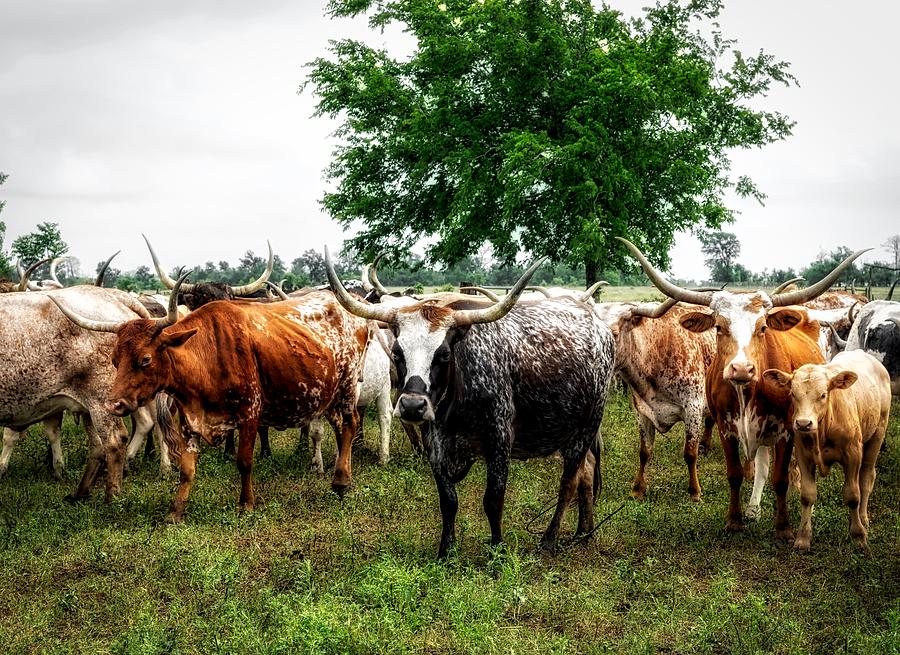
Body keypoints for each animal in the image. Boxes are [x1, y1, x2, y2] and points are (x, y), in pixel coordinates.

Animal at [49, 274, 370, 520]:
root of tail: (348, 310)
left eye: (145, 359)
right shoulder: (189, 420)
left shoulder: (250, 414)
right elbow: (187, 470)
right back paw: (342, 476)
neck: (208, 356)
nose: (113, 404)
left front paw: (246, 504)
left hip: (348, 386)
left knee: (350, 423)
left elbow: (244, 461)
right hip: (328, 393)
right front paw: (176, 512)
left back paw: (342, 481)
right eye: (115, 359)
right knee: (339, 427)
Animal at [326, 251, 620, 560]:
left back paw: (549, 540)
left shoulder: (499, 440)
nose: (412, 406)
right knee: (587, 472)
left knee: (569, 481)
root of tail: (599, 326)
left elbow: (493, 499)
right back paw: (584, 532)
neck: (456, 402)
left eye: (444, 354)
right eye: (397, 352)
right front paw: (446, 551)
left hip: (587, 426)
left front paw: (497, 550)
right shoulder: (436, 445)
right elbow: (448, 501)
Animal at [616, 238, 868, 540]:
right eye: (718, 327)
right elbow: (734, 474)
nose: (740, 369)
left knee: (790, 466)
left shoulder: (783, 429)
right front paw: (735, 519)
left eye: (763, 328)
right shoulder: (725, 427)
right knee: (759, 466)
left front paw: (783, 527)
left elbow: (780, 478)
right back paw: (753, 508)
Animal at [760, 352, 892, 552]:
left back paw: (863, 519)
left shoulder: (853, 455)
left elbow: (853, 495)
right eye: (793, 394)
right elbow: (807, 495)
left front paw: (859, 537)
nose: (803, 423)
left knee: (866, 478)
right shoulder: (803, 455)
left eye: (823, 395)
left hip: (876, 436)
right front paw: (803, 538)